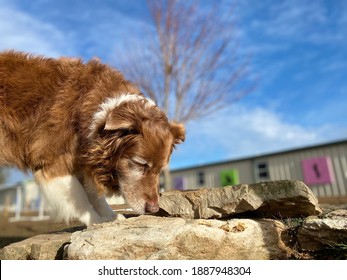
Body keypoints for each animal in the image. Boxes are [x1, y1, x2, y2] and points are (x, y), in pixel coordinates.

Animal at [0, 50, 185, 225]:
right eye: (140, 163)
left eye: (160, 170)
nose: (153, 209)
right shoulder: (53, 160)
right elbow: (79, 197)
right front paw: (95, 221)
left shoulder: (84, 157)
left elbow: (94, 193)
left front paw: (110, 217)